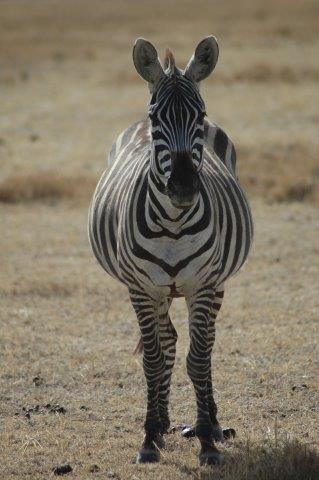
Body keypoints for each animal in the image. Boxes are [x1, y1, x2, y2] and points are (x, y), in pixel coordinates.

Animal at [87, 36, 252, 464]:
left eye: (200, 114)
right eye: (157, 118)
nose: (183, 187)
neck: (173, 222)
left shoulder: (203, 285)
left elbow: (199, 358)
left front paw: (207, 440)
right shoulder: (141, 290)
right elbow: (153, 359)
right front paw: (149, 438)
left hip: (216, 282)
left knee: (205, 344)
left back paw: (211, 422)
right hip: (160, 290)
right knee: (168, 341)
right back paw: (161, 423)